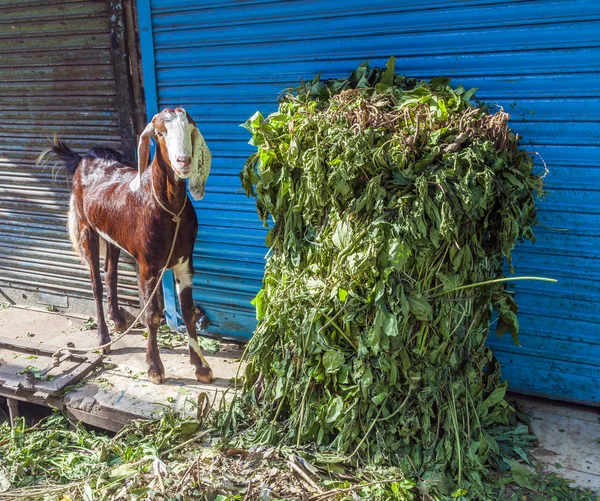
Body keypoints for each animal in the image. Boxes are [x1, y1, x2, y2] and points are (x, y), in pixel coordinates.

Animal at [39, 108, 213, 382]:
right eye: (160, 133)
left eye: (190, 130)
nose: (183, 161)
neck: (169, 210)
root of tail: (83, 159)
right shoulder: (148, 265)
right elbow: (153, 315)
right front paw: (154, 368)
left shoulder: (185, 261)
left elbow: (188, 311)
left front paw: (201, 367)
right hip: (87, 227)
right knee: (96, 284)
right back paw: (103, 339)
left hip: (111, 235)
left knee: (110, 273)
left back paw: (119, 320)